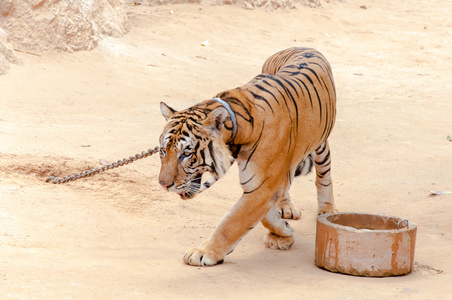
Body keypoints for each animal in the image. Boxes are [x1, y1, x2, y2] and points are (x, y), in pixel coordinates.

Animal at [157, 47, 338, 268]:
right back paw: (286, 208)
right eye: (163, 151)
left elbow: (232, 221)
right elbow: (264, 216)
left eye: (186, 153)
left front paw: (203, 252)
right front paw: (283, 231)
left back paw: (327, 210)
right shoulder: (264, 184)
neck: (236, 133)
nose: (163, 184)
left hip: (321, 145)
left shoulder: (263, 186)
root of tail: (301, 47)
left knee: (324, 176)